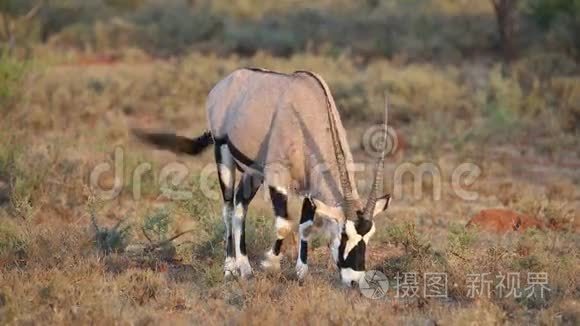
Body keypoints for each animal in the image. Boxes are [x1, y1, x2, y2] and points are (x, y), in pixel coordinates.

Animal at [134, 68, 392, 286]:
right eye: (344, 234)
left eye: (369, 236)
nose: (354, 281)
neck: (310, 110)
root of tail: (224, 83)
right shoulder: (277, 178)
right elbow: (284, 225)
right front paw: (270, 264)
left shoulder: (309, 188)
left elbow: (305, 225)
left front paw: (301, 272)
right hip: (223, 154)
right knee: (228, 208)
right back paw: (230, 268)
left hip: (253, 172)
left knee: (240, 207)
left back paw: (245, 268)